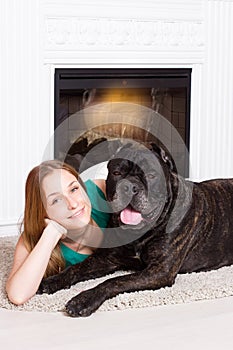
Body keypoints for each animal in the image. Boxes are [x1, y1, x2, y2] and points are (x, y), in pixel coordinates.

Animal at [37, 142, 233, 318]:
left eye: (151, 175)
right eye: (117, 173)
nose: (129, 186)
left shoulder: (159, 271)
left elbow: (115, 281)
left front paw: (83, 300)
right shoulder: (107, 258)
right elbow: (76, 268)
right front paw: (52, 281)